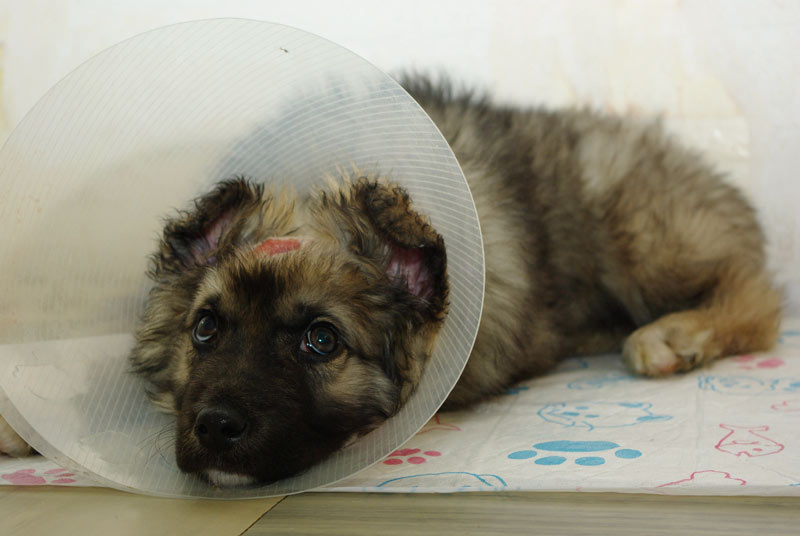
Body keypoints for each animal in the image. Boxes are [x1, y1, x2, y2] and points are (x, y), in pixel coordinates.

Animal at [1, 77, 782, 487]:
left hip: (638, 234)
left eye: (322, 341)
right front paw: (18, 421)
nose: (214, 427)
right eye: (205, 328)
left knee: (759, 294)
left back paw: (675, 335)